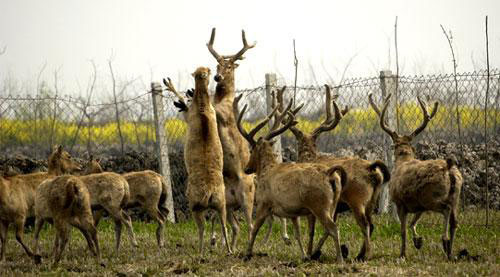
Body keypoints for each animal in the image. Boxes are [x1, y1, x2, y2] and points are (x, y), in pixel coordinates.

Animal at [166, 66, 232, 252]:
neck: (203, 108)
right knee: (224, 225)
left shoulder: (188, 117)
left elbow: (183, 107)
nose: (211, 71)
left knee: (201, 227)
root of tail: (209, 194)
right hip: (221, 203)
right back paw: (229, 250)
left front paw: (171, 85)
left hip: (195, 204)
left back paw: (200, 251)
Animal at [235, 96, 346, 260]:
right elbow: (297, 234)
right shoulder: (293, 212)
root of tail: (330, 174)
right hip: (333, 204)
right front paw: (303, 255)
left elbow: (255, 228)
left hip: (319, 204)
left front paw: (247, 253)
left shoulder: (263, 203)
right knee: (329, 228)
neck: (265, 171)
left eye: (251, 150)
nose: (247, 168)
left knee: (333, 228)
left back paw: (339, 259)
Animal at [282, 85, 390, 260]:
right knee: (371, 224)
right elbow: (328, 228)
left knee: (365, 224)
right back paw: (360, 254)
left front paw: (310, 253)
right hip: (372, 200)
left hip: (357, 198)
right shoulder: (334, 207)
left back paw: (366, 255)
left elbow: (312, 231)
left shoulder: (312, 204)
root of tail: (372, 169)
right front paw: (317, 252)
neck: (310, 156)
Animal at [370, 92, 462, 258]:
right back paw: (450, 252)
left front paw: (402, 253)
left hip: (432, 196)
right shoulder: (418, 205)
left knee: (446, 210)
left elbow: (403, 230)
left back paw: (444, 241)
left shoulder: (400, 202)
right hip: (454, 198)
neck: (403, 160)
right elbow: (413, 223)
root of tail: (449, 168)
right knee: (454, 222)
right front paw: (418, 241)